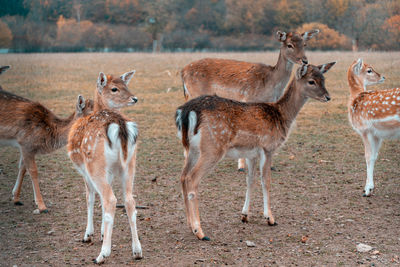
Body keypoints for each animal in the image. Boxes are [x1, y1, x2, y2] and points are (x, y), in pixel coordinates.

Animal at [0, 68, 93, 215]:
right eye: (90, 114)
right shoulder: (26, 143)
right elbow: (33, 170)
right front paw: (42, 206)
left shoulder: (24, 146)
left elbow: (22, 167)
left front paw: (16, 198)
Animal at [68, 70, 142, 264]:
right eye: (115, 88)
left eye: (126, 85)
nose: (134, 98)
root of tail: (120, 125)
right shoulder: (109, 172)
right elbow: (100, 200)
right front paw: (102, 233)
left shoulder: (84, 171)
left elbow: (90, 197)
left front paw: (88, 235)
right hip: (130, 164)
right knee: (129, 200)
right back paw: (137, 251)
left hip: (95, 165)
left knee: (111, 199)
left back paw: (102, 255)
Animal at [175, 61, 334, 242]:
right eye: (311, 81)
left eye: (323, 79)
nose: (328, 97)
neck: (281, 116)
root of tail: (185, 112)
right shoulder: (268, 147)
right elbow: (266, 180)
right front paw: (270, 218)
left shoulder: (251, 154)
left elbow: (250, 180)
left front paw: (245, 215)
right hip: (212, 148)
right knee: (192, 179)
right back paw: (199, 231)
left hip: (190, 148)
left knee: (183, 176)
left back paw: (190, 225)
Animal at [181, 28, 318, 172]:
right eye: (289, 45)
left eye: (304, 44)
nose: (304, 60)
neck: (271, 84)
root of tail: (182, 72)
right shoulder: (250, 99)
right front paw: (242, 166)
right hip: (195, 94)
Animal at [346, 59, 398, 197]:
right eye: (369, 70)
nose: (383, 77)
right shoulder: (376, 134)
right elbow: (374, 156)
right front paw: (371, 187)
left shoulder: (365, 129)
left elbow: (368, 156)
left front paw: (367, 190)